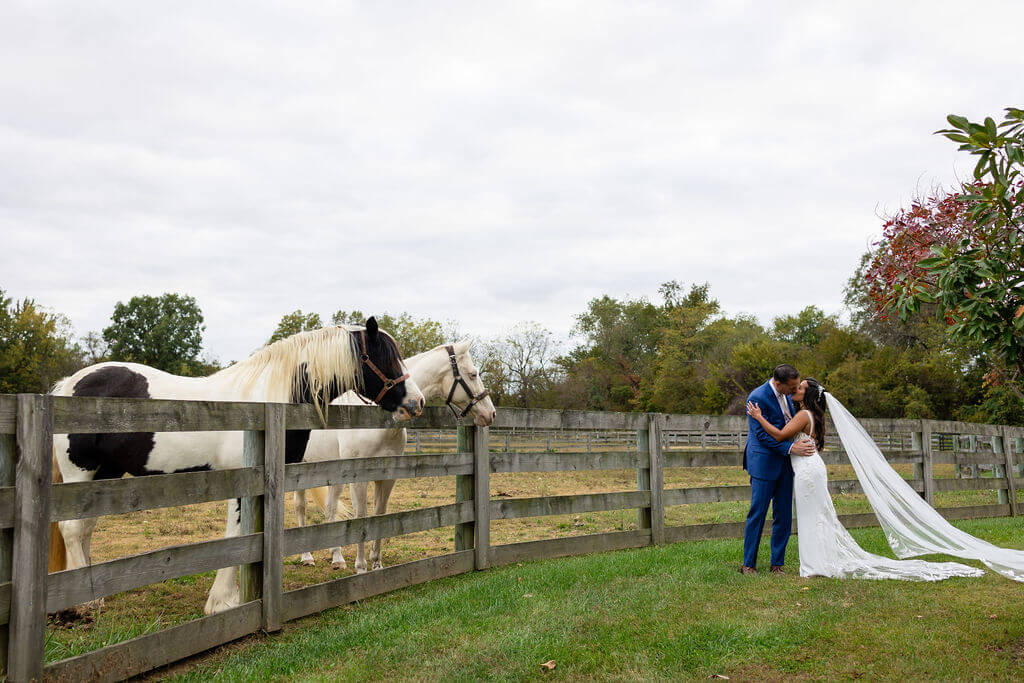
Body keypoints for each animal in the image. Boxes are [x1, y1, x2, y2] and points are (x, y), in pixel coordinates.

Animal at [50, 318, 425, 615]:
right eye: (385, 357)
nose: (416, 403)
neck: (266, 400)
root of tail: (67, 384)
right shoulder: (242, 484)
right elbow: (236, 535)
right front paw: (223, 601)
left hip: (105, 474)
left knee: (85, 527)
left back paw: (91, 594)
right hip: (80, 472)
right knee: (72, 528)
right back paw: (85, 602)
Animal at [294, 338, 495, 572]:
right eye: (472, 374)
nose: (491, 413)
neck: (377, 422)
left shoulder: (387, 477)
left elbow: (379, 514)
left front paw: (376, 563)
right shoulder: (358, 479)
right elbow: (361, 516)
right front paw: (361, 566)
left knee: (330, 507)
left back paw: (337, 558)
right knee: (301, 506)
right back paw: (307, 556)